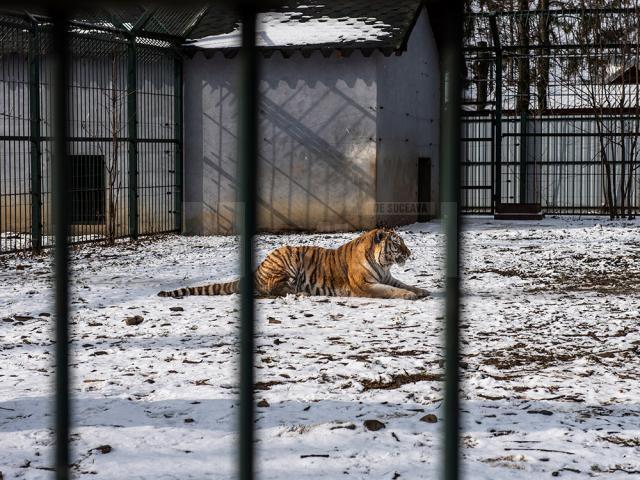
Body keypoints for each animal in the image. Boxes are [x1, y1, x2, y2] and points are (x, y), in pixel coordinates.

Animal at [159, 229, 430, 300]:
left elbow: (405, 284)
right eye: (397, 244)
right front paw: (409, 296)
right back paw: (300, 293)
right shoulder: (365, 286)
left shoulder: (387, 276)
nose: (410, 252)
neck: (383, 264)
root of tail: (257, 269)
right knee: (273, 289)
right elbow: (392, 291)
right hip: (287, 261)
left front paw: (422, 290)